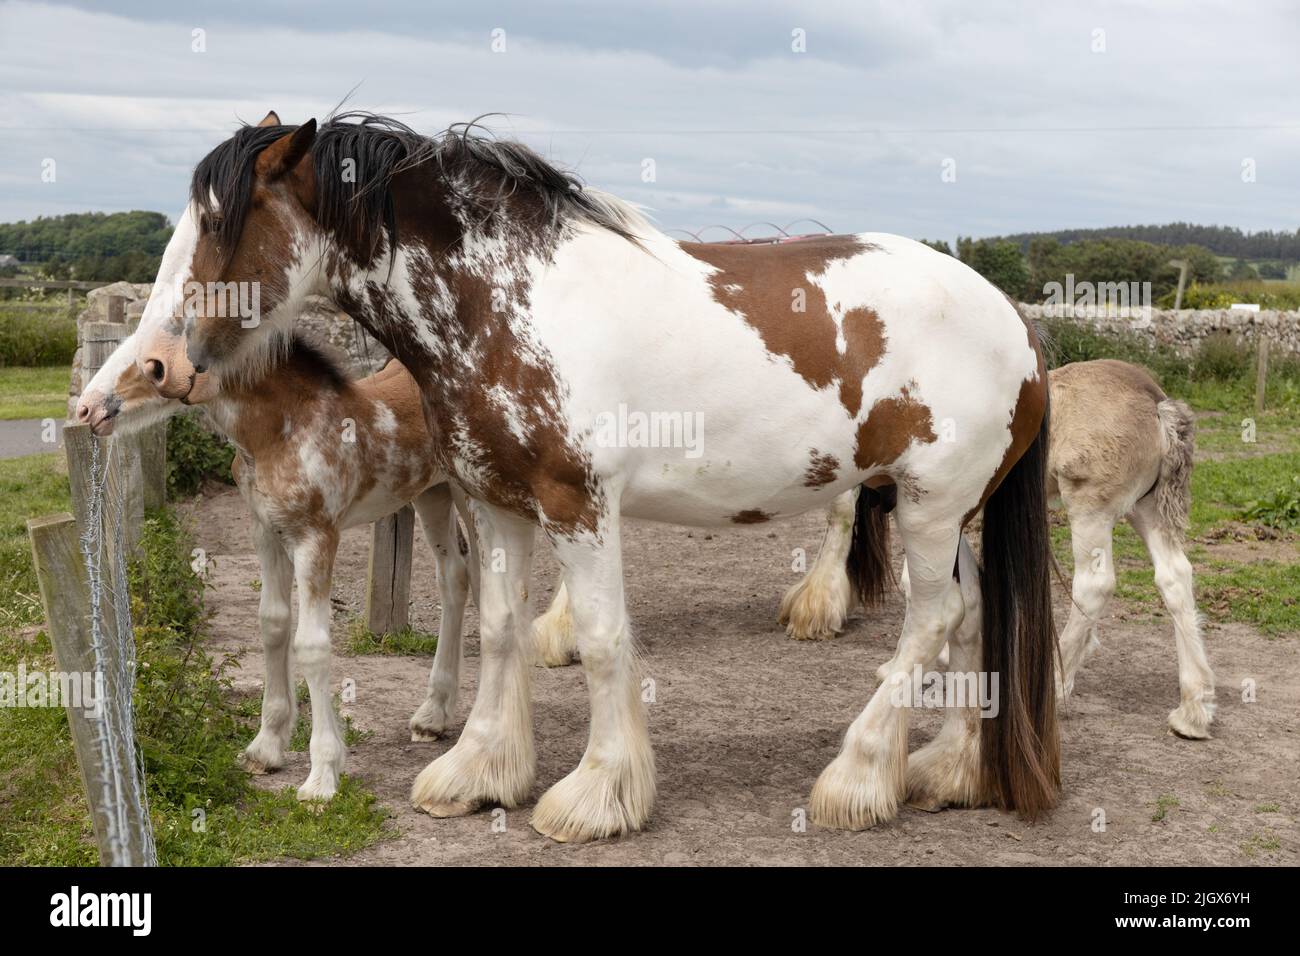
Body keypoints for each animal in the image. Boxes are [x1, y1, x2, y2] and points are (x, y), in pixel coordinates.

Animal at [72, 330, 478, 801]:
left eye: (154, 362)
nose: (86, 409)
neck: (282, 432)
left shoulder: (316, 538)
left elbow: (312, 645)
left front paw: (322, 776)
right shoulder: (266, 531)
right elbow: (273, 623)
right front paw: (265, 747)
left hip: (471, 497)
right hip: (433, 494)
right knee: (455, 577)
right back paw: (433, 716)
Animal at [137, 111, 1060, 842]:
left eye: (217, 220)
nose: (159, 364)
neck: (505, 302)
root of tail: (1015, 322)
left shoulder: (577, 505)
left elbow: (605, 639)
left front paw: (596, 795)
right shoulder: (497, 503)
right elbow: (500, 628)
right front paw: (479, 771)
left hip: (930, 509)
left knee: (929, 623)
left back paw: (859, 778)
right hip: (937, 509)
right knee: (973, 614)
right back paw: (951, 770)